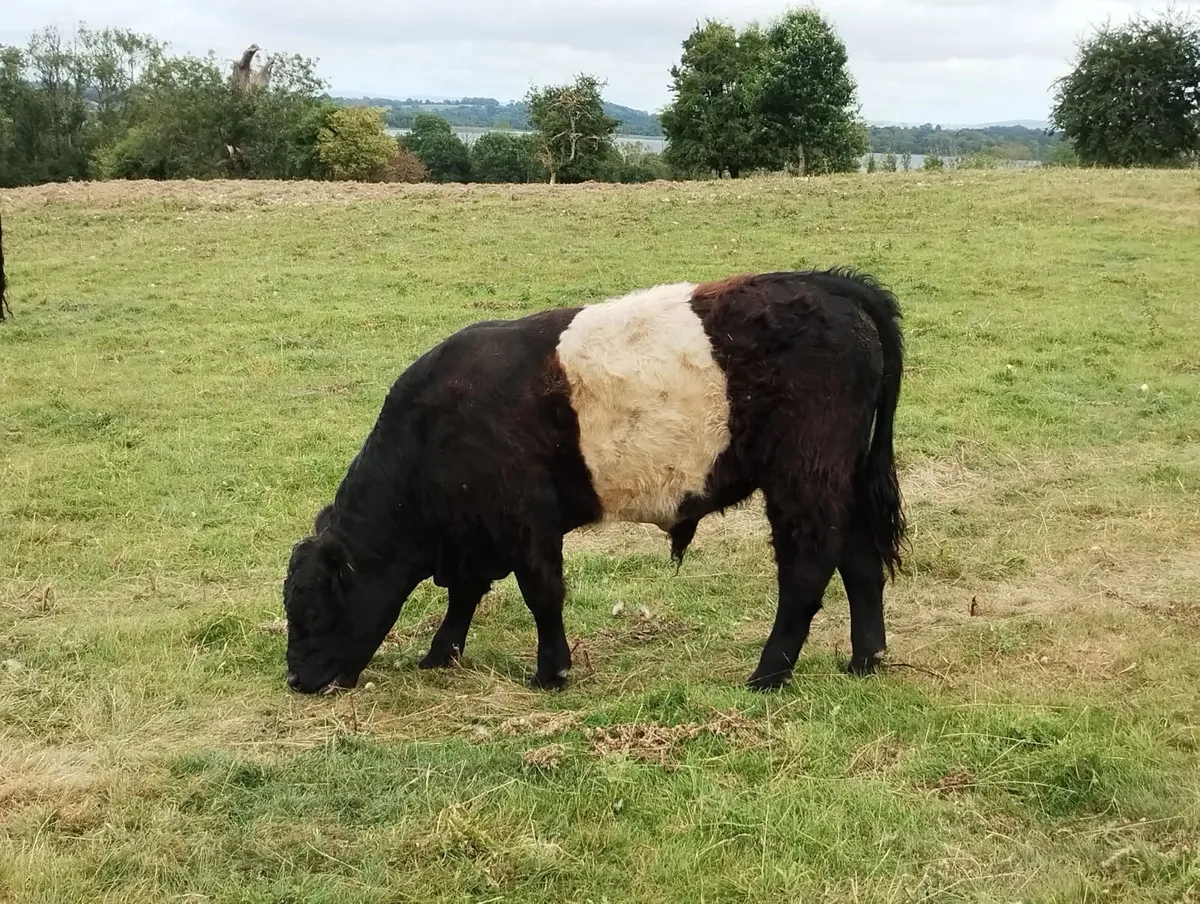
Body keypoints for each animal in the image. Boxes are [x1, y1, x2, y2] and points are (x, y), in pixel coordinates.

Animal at [282, 268, 907, 695]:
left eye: (312, 608)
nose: (297, 680)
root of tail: (829, 285)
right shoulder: (477, 535)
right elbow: (466, 594)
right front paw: (441, 655)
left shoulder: (524, 522)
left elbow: (541, 594)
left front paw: (550, 672)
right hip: (842, 482)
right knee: (860, 563)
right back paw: (864, 660)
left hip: (803, 480)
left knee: (807, 569)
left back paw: (768, 674)